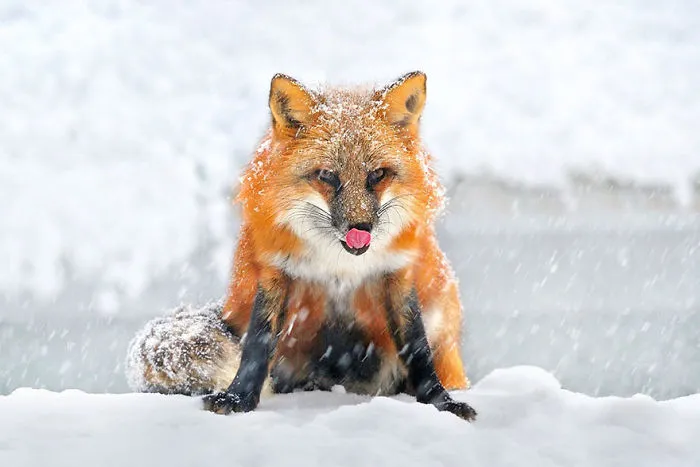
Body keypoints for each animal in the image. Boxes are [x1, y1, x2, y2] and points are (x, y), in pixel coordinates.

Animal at [125, 71, 477, 421]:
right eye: (327, 176)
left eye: (378, 174)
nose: (360, 229)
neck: (339, 262)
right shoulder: (277, 270)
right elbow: (257, 345)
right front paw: (239, 398)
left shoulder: (396, 272)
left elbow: (418, 350)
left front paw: (441, 402)